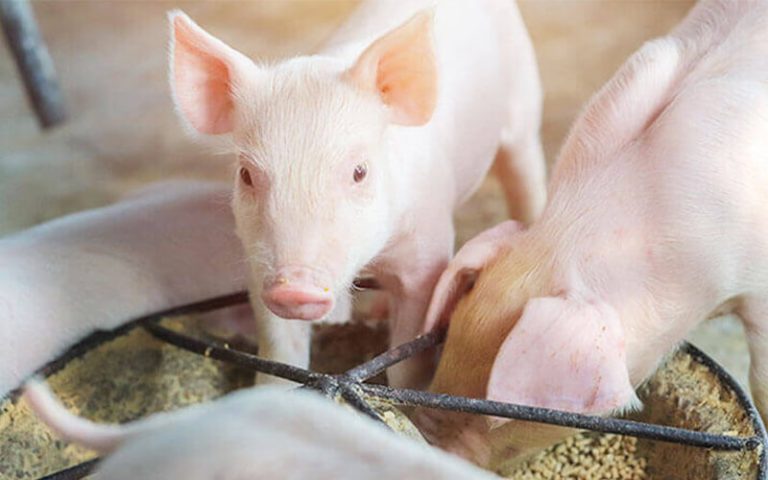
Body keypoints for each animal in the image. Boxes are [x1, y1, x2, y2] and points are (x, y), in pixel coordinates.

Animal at [167, 0, 547, 388]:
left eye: (359, 172)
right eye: (246, 175)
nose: (295, 287)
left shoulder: (428, 251)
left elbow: (407, 353)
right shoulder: (258, 260)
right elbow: (280, 351)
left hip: (523, 108)